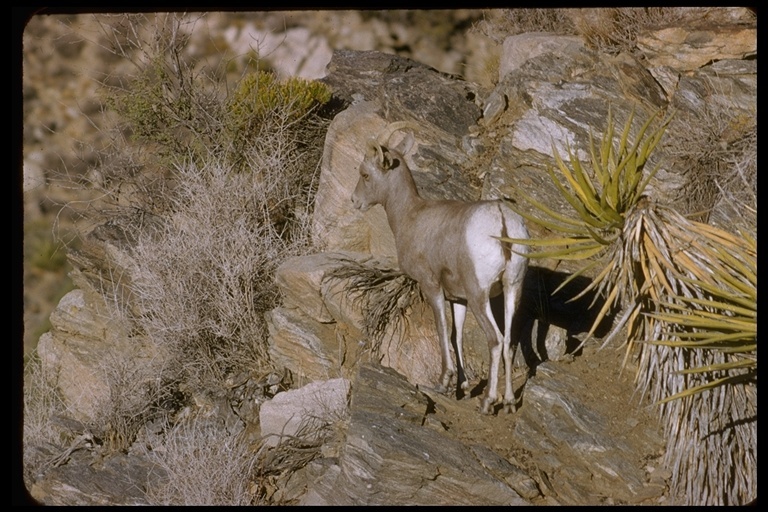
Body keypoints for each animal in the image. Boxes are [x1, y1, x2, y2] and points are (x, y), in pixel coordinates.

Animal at [352, 124, 528, 416]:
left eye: (365, 174)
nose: (354, 201)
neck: (411, 216)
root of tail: (501, 219)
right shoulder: (458, 299)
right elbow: (457, 336)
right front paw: (463, 387)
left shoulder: (431, 287)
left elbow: (442, 328)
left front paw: (443, 383)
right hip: (512, 289)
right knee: (509, 342)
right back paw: (510, 403)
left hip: (480, 298)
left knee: (495, 340)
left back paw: (487, 402)